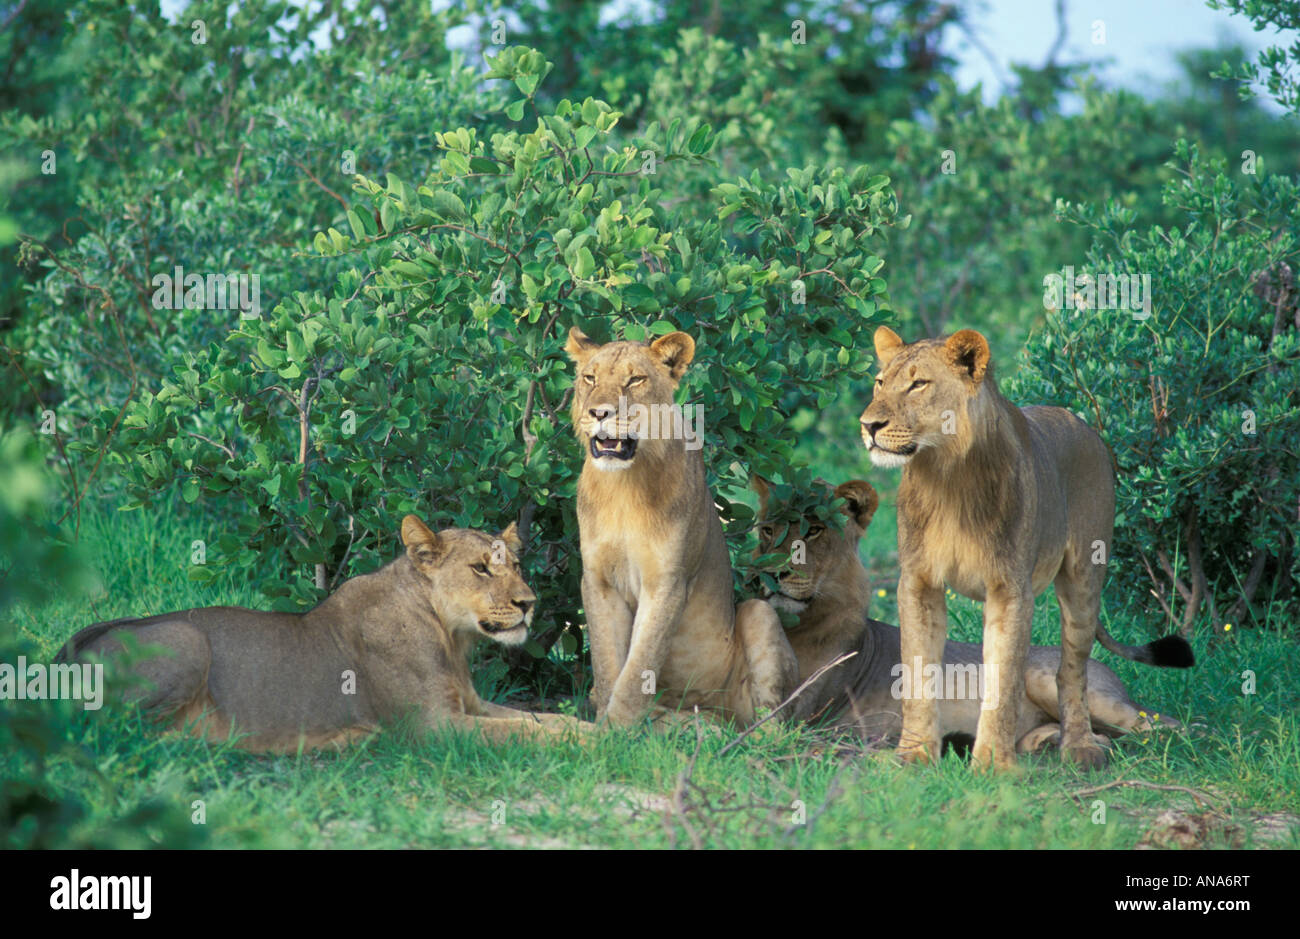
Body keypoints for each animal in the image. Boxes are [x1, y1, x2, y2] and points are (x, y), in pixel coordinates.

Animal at [55, 515, 589, 752]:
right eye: (480, 568)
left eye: (515, 565)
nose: (528, 603)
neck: (451, 637)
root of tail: (63, 654)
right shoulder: (431, 727)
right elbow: (524, 732)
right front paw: (594, 743)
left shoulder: (470, 706)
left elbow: (538, 718)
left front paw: (590, 728)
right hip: (187, 641)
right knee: (117, 735)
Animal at [564, 326, 798, 727]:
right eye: (589, 378)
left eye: (635, 380)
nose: (599, 413)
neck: (623, 486)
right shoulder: (598, 579)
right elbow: (609, 665)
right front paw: (606, 727)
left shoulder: (668, 582)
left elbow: (639, 665)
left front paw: (615, 730)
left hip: (759, 615)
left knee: (771, 722)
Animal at [751, 477, 1181, 754]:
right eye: (767, 530)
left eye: (814, 531)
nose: (773, 572)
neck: (804, 623)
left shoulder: (809, 713)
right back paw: (1046, 742)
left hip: (1056, 681)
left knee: (1163, 725)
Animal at [859, 326, 1193, 770]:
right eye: (880, 382)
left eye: (918, 384)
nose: (868, 425)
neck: (945, 474)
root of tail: (1081, 423)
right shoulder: (917, 582)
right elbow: (917, 671)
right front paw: (913, 754)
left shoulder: (1010, 588)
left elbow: (1003, 681)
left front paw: (991, 765)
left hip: (1084, 577)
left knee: (1076, 675)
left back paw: (1083, 746)